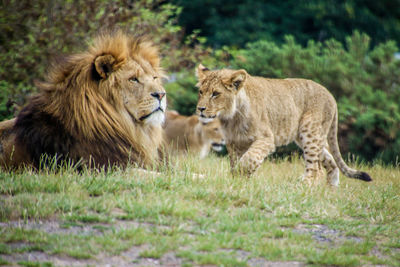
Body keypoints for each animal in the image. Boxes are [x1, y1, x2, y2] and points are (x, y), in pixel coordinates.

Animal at [196, 65, 372, 186]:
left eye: (215, 94)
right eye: (201, 92)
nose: (200, 109)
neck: (231, 116)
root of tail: (331, 96)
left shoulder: (266, 139)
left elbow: (249, 159)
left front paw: (240, 176)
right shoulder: (234, 142)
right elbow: (236, 162)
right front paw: (238, 181)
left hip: (309, 131)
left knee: (316, 168)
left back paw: (303, 186)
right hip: (307, 137)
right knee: (330, 160)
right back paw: (330, 189)